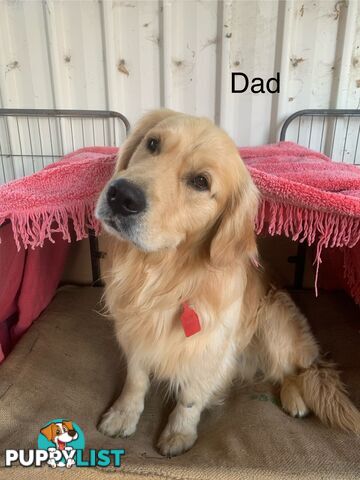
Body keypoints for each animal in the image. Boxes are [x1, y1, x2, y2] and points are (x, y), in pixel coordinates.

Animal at [95, 109, 360, 458]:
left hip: (274, 317)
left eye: (201, 182)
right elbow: (136, 381)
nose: (122, 195)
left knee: (296, 372)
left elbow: (190, 397)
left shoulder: (210, 347)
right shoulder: (135, 334)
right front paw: (123, 414)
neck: (162, 275)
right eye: (152, 143)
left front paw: (179, 433)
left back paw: (296, 399)